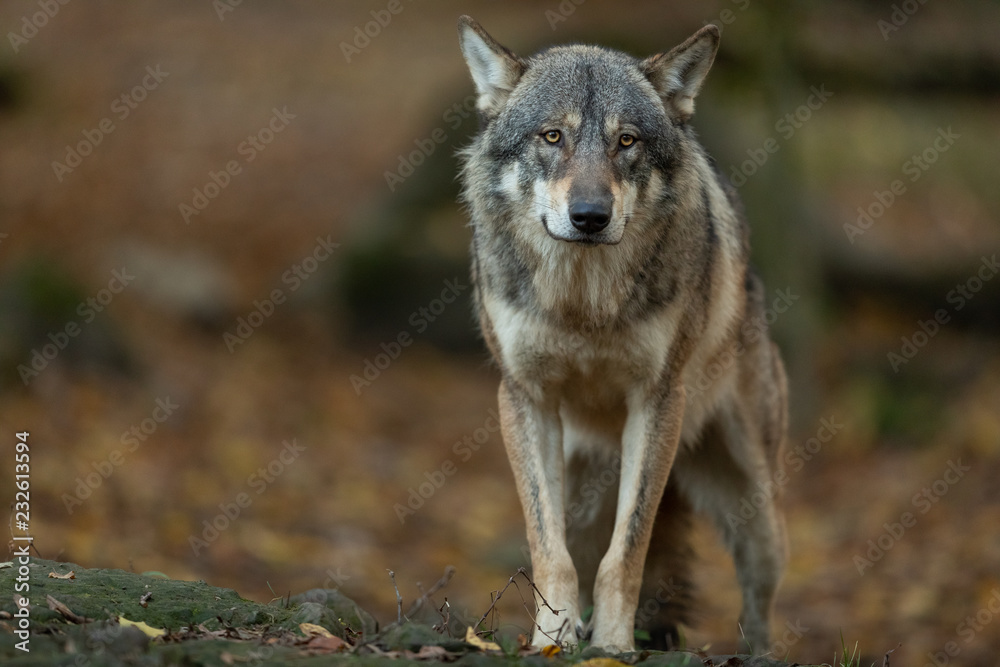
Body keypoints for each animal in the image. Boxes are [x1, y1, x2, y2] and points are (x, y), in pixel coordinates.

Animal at [457, 16, 788, 654]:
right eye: (553, 136)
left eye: (627, 141)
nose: (590, 216)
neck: (583, 304)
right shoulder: (524, 398)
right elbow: (548, 549)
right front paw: (553, 639)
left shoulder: (657, 401)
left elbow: (628, 551)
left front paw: (612, 646)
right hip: (585, 496)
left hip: (753, 507)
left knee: (761, 596)